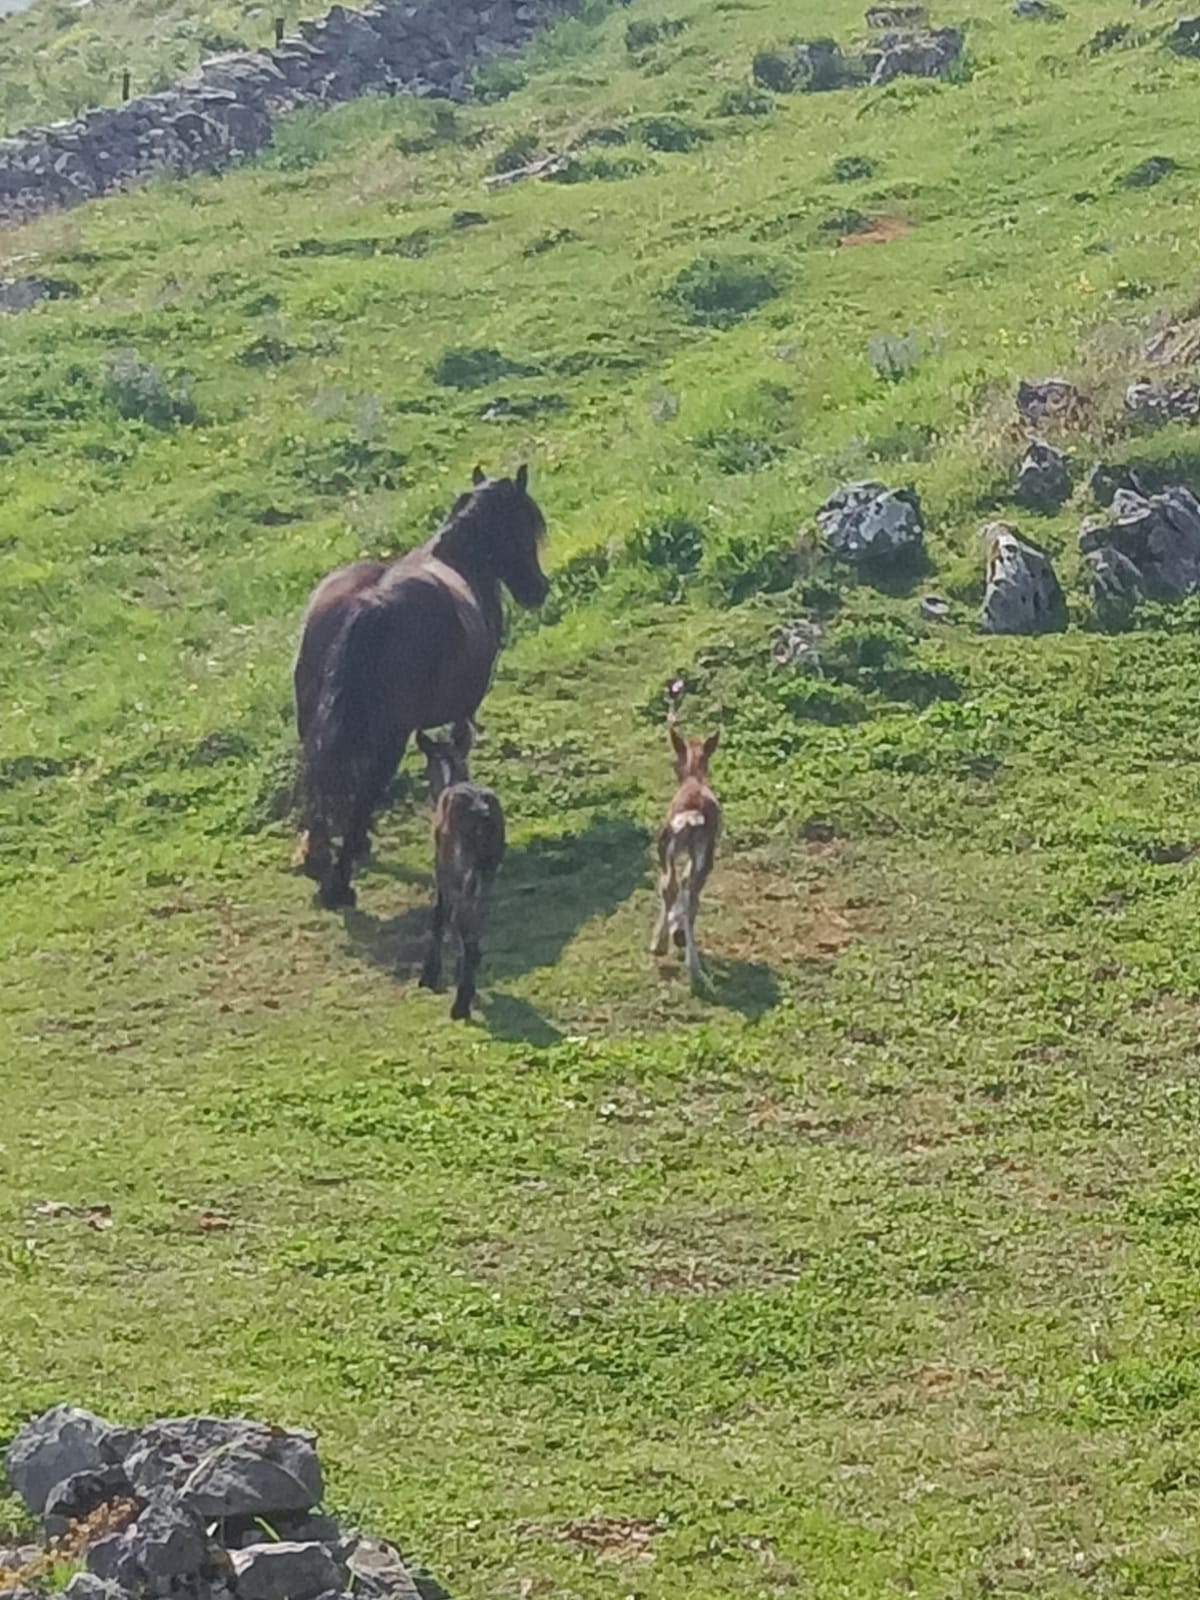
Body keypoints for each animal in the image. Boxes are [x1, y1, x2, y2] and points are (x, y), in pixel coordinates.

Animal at [652, 716, 720, 985]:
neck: (694, 778)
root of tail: (692, 815)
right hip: (698, 851)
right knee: (687, 892)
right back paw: (693, 964)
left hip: (666, 845)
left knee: (669, 884)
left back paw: (661, 946)